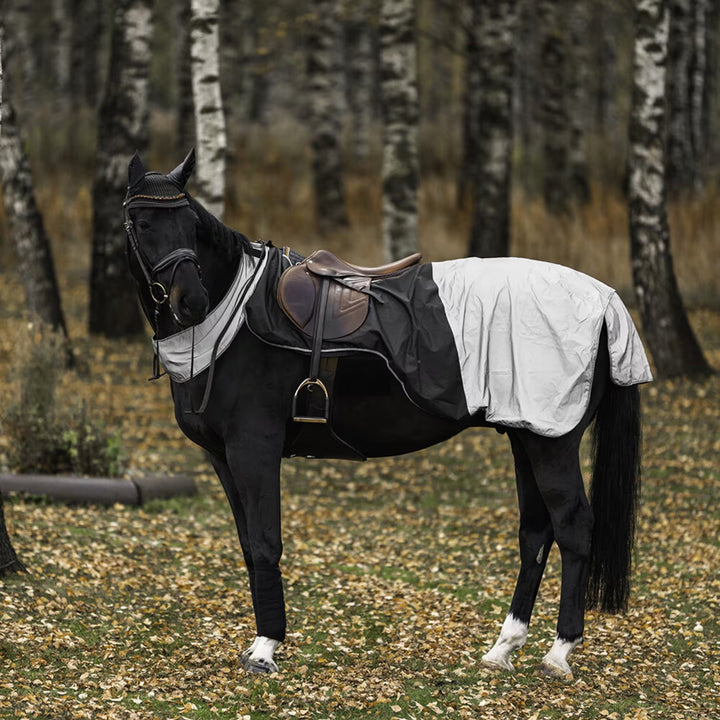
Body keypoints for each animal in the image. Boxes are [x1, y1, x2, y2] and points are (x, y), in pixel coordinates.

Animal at [126, 149, 648, 676]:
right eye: (144, 223)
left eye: (191, 224)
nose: (191, 301)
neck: (234, 320)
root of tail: (605, 300)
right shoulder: (223, 457)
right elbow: (250, 546)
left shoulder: (254, 448)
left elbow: (266, 541)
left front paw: (265, 648)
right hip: (525, 434)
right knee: (536, 533)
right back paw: (504, 647)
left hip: (552, 440)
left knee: (573, 527)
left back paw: (559, 652)